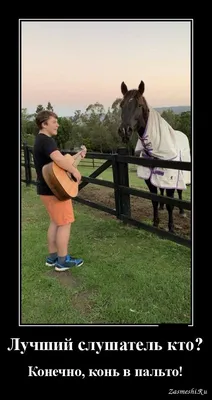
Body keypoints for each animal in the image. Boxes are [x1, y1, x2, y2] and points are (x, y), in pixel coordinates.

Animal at [117, 79, 189, 233]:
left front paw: (171, 228)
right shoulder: (149, 178)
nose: (124, 130)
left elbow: (170, 203)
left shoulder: (170, 176)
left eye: (139, 105)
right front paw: (155, 223)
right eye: (121, 105)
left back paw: (182, 211)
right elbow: (154, 200)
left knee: (180, 192)